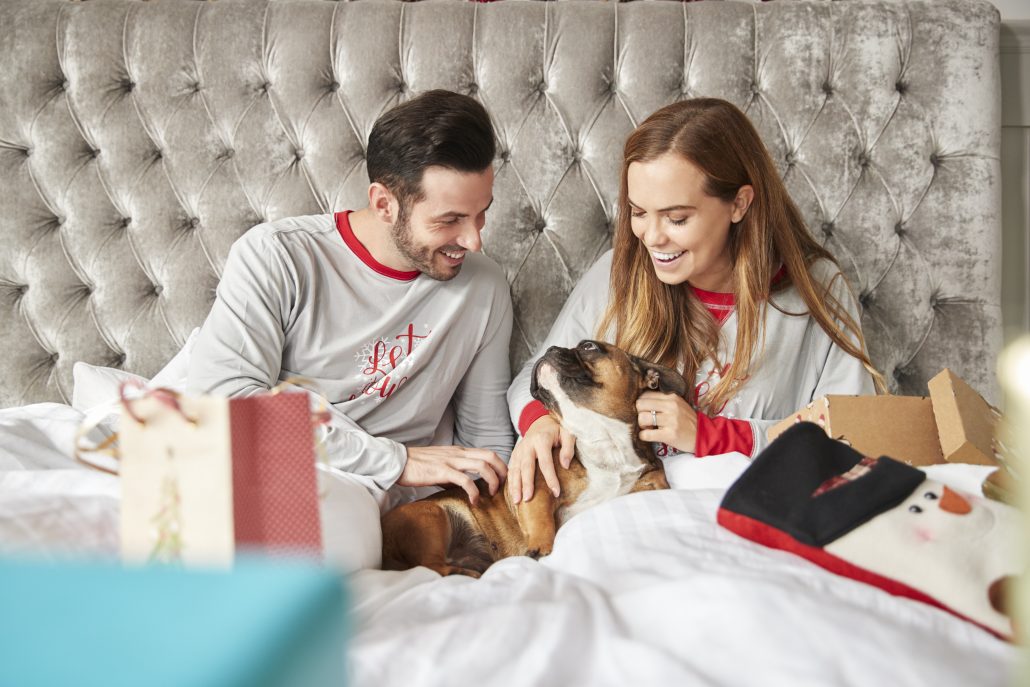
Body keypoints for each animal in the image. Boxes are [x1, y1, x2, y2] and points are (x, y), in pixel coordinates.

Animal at [379, 341, 683, 576]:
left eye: (589, 347)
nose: (550, 348)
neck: (603, 442)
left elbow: (656, 480)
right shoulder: (536, 482)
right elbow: (541, 520)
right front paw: (541, 547)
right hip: (432, 516)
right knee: (432, 567)